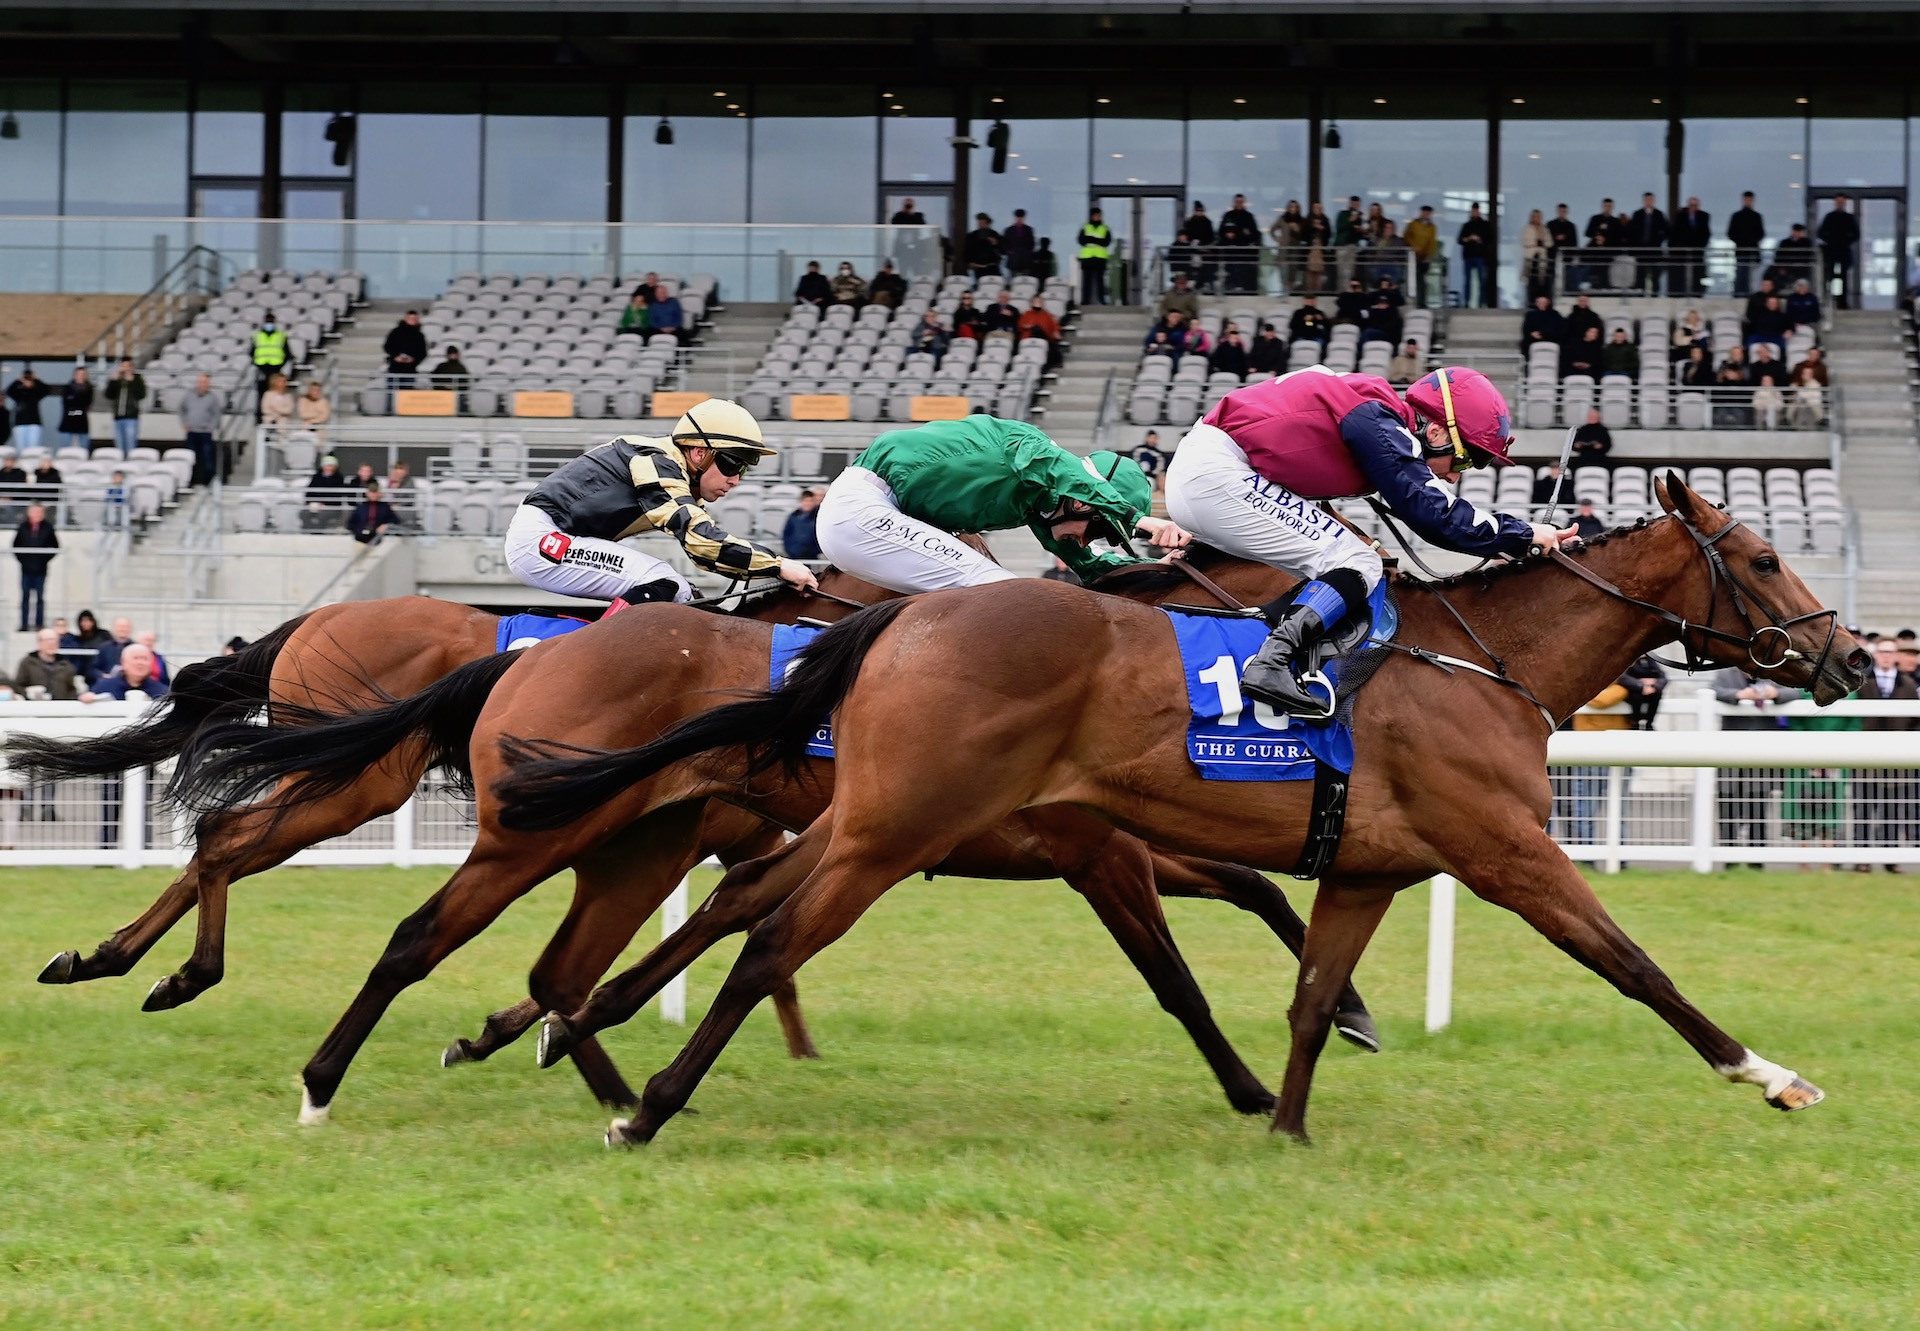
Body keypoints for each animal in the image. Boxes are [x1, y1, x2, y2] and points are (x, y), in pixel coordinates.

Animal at [495, 474, 1873, 1144]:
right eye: (1762, 558)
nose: (1853, 656)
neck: (1483, 663)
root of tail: (902, 617)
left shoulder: (1368, 864)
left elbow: (1312, 988)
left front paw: (1292, 1121)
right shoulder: (1503, 849)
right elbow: (1634, 962)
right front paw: (1770, 1073)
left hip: (869, 814)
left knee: (735, 909)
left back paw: (578, 1029)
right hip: (898, 829)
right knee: (769, 936)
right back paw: (643, 1101)